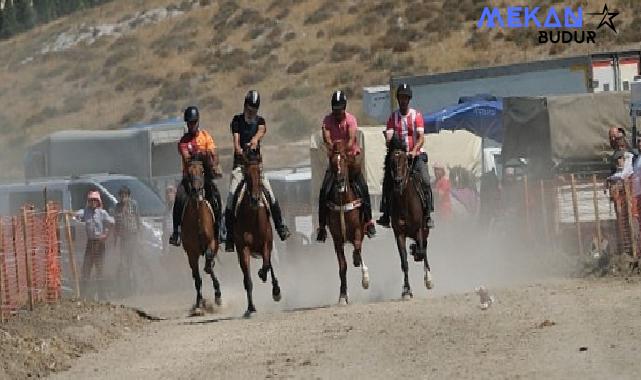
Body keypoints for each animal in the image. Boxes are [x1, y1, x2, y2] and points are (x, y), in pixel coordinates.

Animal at [181, 156, 221, 316]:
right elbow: (197, 278)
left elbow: (209, 264)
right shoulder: (191, 253)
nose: (196, 191)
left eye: (202, 171)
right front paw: (199, 304)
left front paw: (218, 296)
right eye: (188, 172)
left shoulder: (212, 243)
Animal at [231, 148, 278, 318]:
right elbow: (248, 280)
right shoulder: (243, 249)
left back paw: (276, 290)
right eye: (246, 175)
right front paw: (251, 308)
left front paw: (263, 276)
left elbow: (266, 265)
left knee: (269, 264)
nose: (255, 199)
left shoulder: (266, 243)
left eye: (259, 172)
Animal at [324, 141, 370, 304]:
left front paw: (365, 279)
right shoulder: (337, 238)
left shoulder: (358, 230)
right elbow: (342, 267)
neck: (343, 202)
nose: (339, 182)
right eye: (332, 161)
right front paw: (343, 296)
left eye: (344, 158)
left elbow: (357, 248)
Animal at [388, 137, 432, 300]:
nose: (398, 181)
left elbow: (421, 251)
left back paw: (428, 279)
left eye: (404, 160)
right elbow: (404, 262)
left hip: (425, 230)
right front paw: (406, 291)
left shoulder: (419, 229)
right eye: (391, 161)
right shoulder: (399, 234)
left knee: (424, 248)